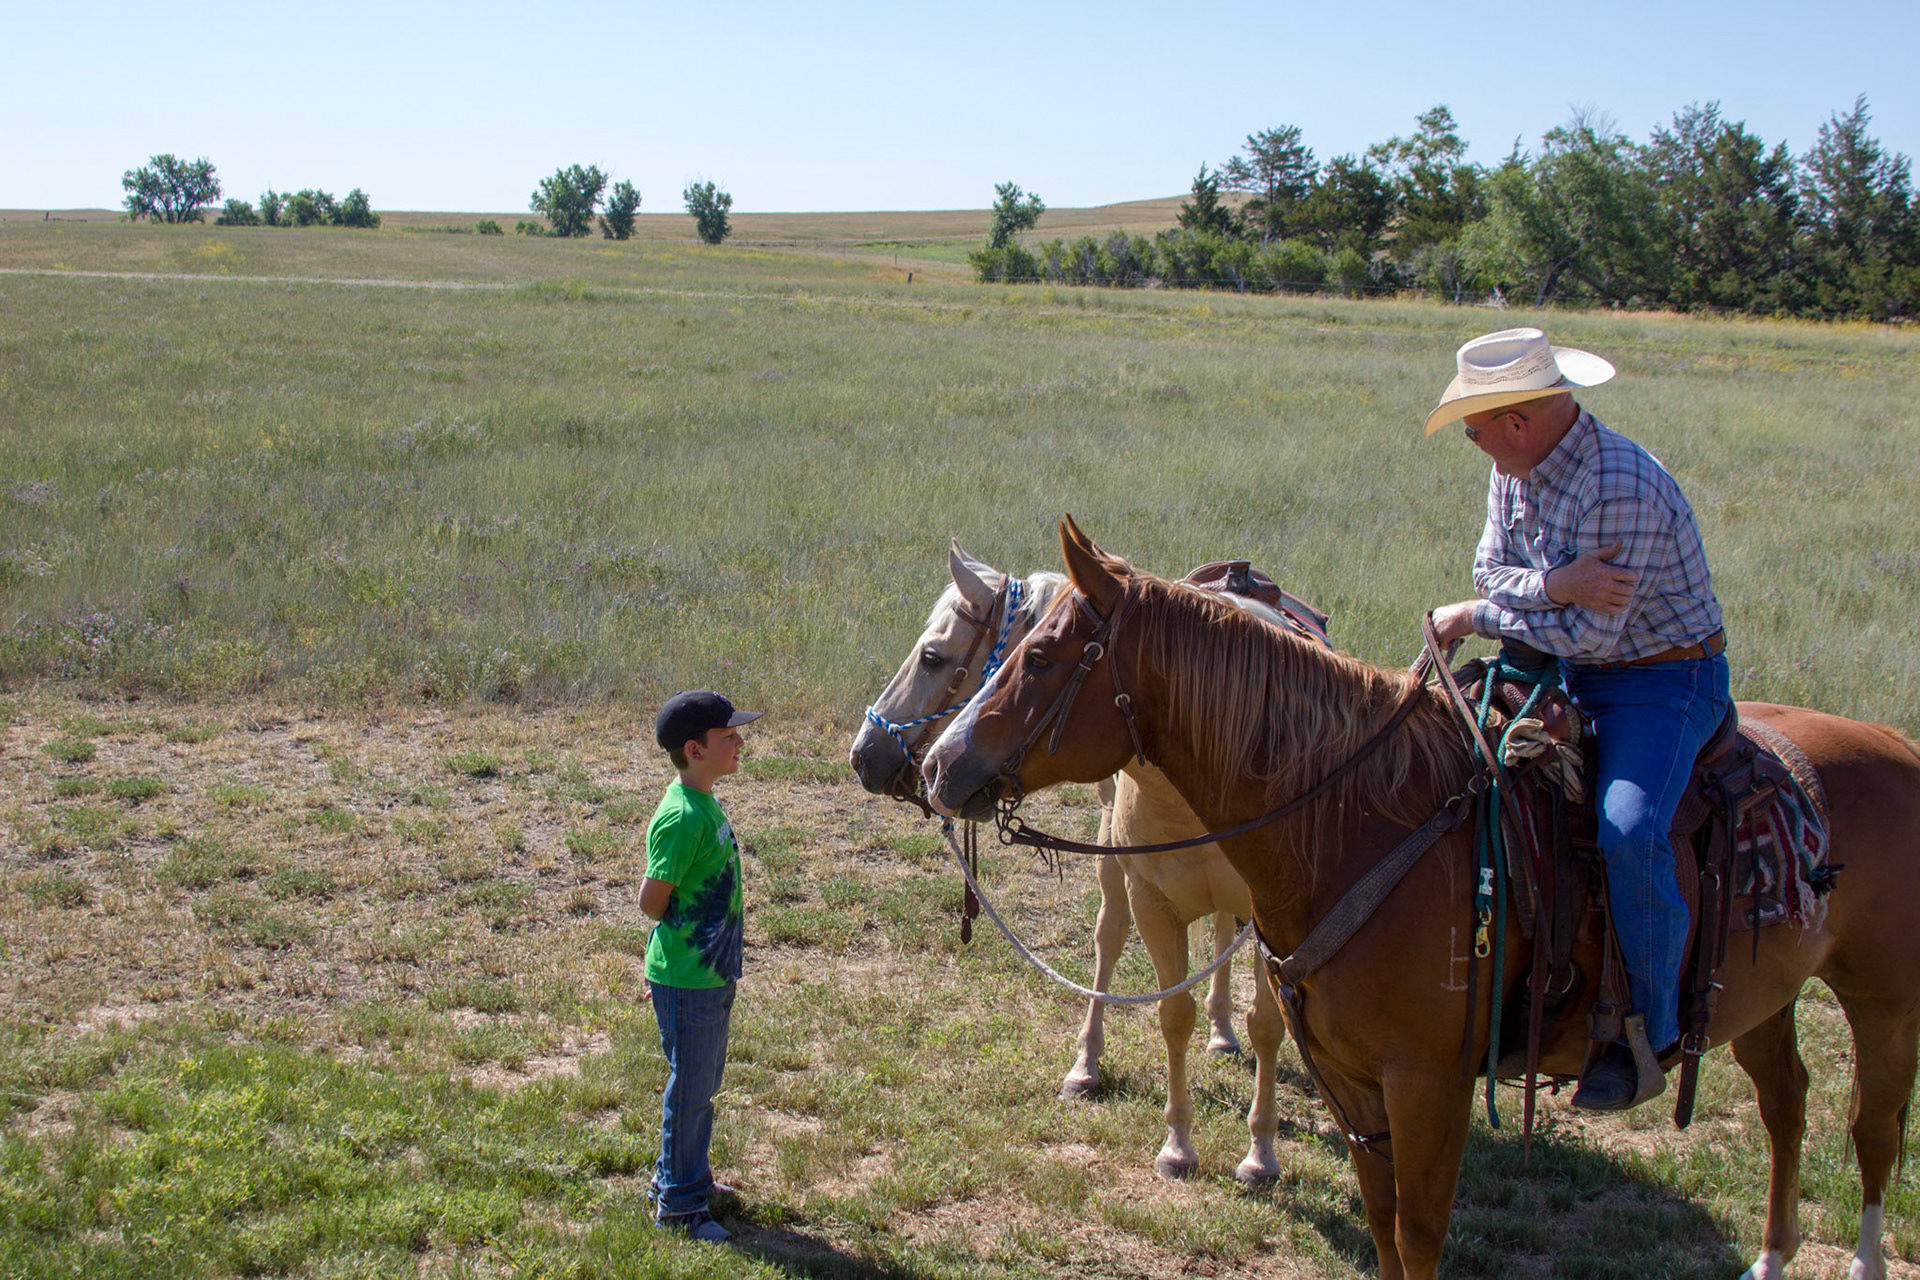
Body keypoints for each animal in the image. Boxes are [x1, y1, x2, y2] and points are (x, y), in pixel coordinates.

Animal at [849, 543, 1286, 1183]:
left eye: (932, 656)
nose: (862, 756)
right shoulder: (1145, 885)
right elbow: (1161, 994)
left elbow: (1268, 1024)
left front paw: (1260, 1152)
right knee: (1112, 936)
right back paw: (1100, 1061)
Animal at [924, 517, 1920, 1280]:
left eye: (1041, 658)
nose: (937, 766)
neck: (1362, 825)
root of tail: (1897, 746)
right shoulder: (1355, 1086)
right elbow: (1384, 1232)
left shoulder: (1428, 1087)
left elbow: (1419, 1234)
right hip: (1764, 998)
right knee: (1787, 1104)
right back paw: (1773, 1256)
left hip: (1880, 1000)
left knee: (1871, 1130)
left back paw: (1862, 1259)